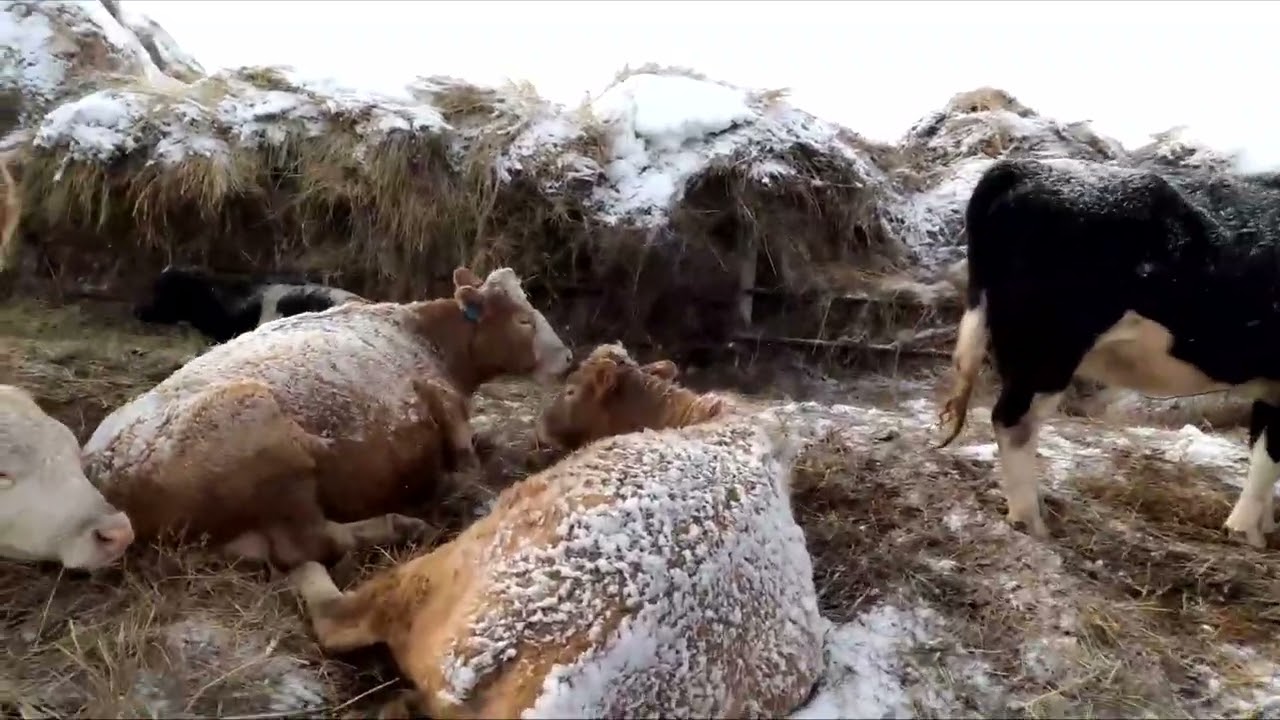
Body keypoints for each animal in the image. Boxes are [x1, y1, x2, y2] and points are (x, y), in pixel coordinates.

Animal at [938, 157, 1280, 547]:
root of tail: (1023, 167)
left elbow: (1260, 449)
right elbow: (1268, 458)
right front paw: (1245, 534)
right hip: (1047, 349)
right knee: (1012, 421)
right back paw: (1030, 522)